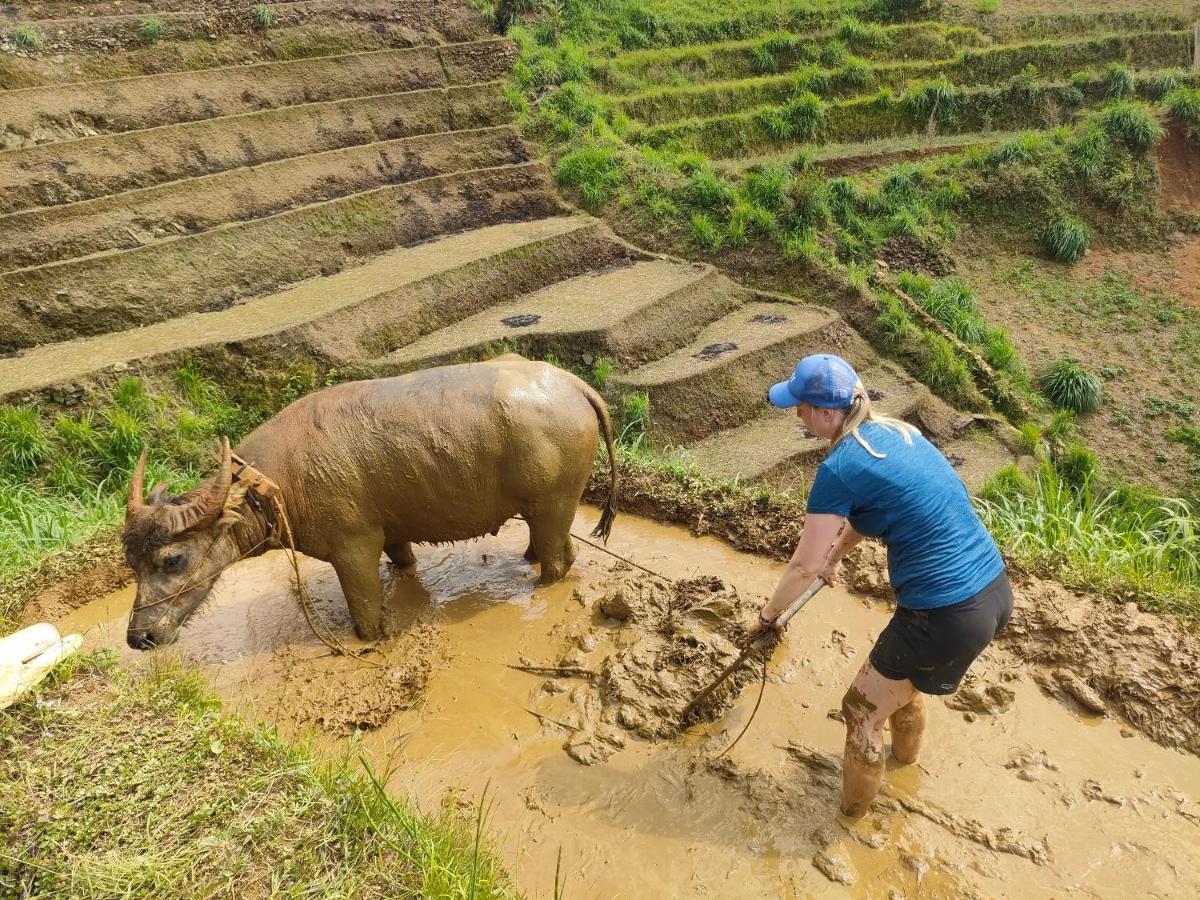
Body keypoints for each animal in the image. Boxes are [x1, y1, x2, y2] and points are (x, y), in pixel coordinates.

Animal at [124, 357, 619, 648]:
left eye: (173, 560)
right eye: (132, 566)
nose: (138, 637)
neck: (275, 486)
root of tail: (574, 386)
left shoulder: (352, 546)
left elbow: (363, 614)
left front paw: (375, 636)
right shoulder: (390, 532)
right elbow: (403, 562)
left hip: (555, 501)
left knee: (556, 561)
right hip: (550, 506)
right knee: (557, 545)